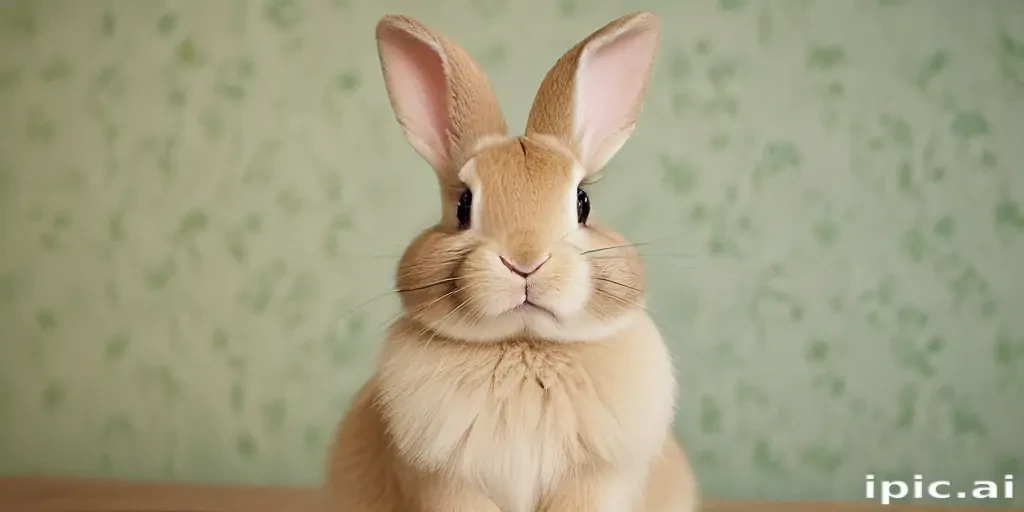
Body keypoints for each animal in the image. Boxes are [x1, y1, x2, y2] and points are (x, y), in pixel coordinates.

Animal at [325, 11, 698, 512]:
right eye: (463, 206)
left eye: (583, 202)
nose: (525, 261)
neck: (525, 346)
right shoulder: (448, 485)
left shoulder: (595, 481)